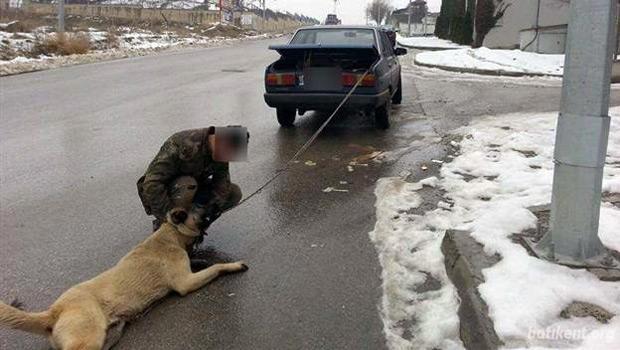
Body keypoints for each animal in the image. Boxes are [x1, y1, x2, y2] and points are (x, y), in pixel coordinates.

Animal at [0, 209, 247, 348]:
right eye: (200, 211)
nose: (216, 208)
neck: (170, 234)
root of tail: (55, 310)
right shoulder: (185, 283)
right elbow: (216, 267)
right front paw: (232, 265)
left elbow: (202, 263)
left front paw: (201, 259)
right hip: (88, 338)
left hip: (107, 336)